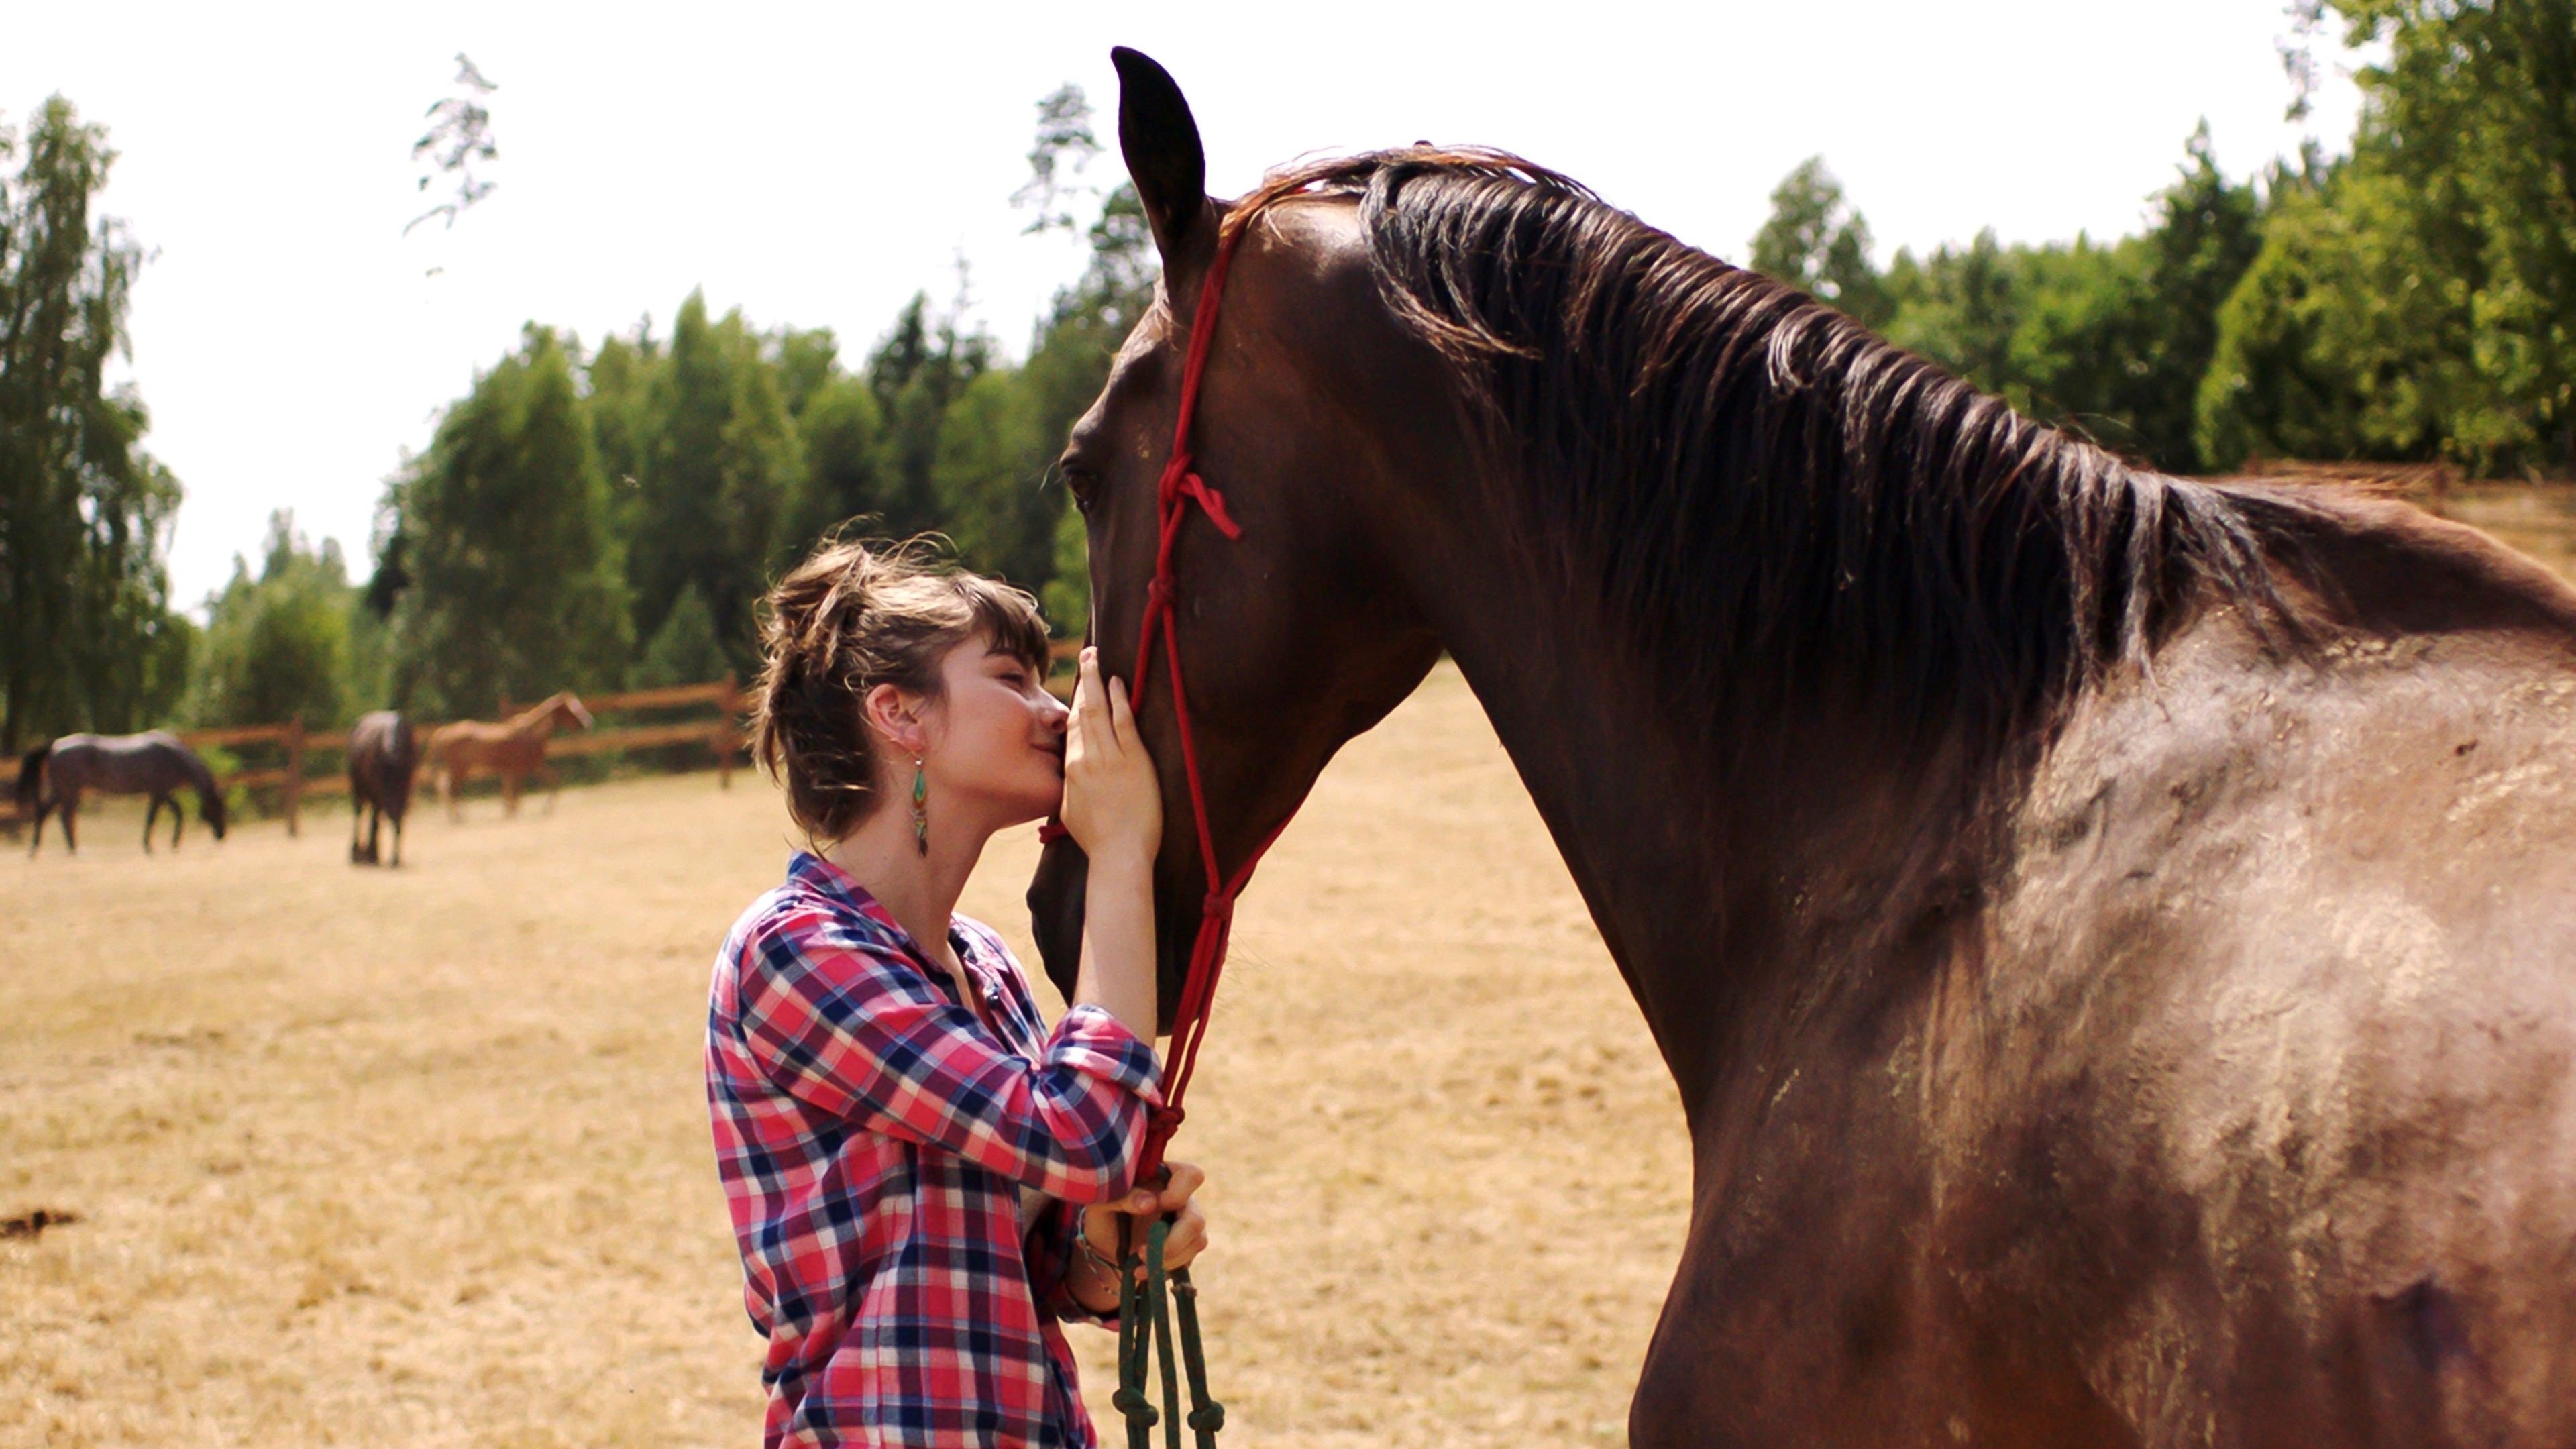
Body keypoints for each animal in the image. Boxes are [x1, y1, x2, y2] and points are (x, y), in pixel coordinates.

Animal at [345, 706, 419, 861]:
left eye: (402, 735)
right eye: (387, 735)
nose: (391, 750)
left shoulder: (403, 791)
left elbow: (394, 817)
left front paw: (394, 857)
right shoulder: (382, 792)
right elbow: (384, 818)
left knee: (374, 815)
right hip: (358, 786)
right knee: (359, 813)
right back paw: (357, 851)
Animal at [433, 691, 592, 820]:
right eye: (572, 709)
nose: (588, 722)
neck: (532, 735)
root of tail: (444, 732)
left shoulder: (532, 767)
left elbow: (549, 782)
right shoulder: (524, 769)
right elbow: (517, 794)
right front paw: (537, 811)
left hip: (460, 770)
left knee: (449, 790)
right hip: (459, 769)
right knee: (452, 790)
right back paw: (459, 817)